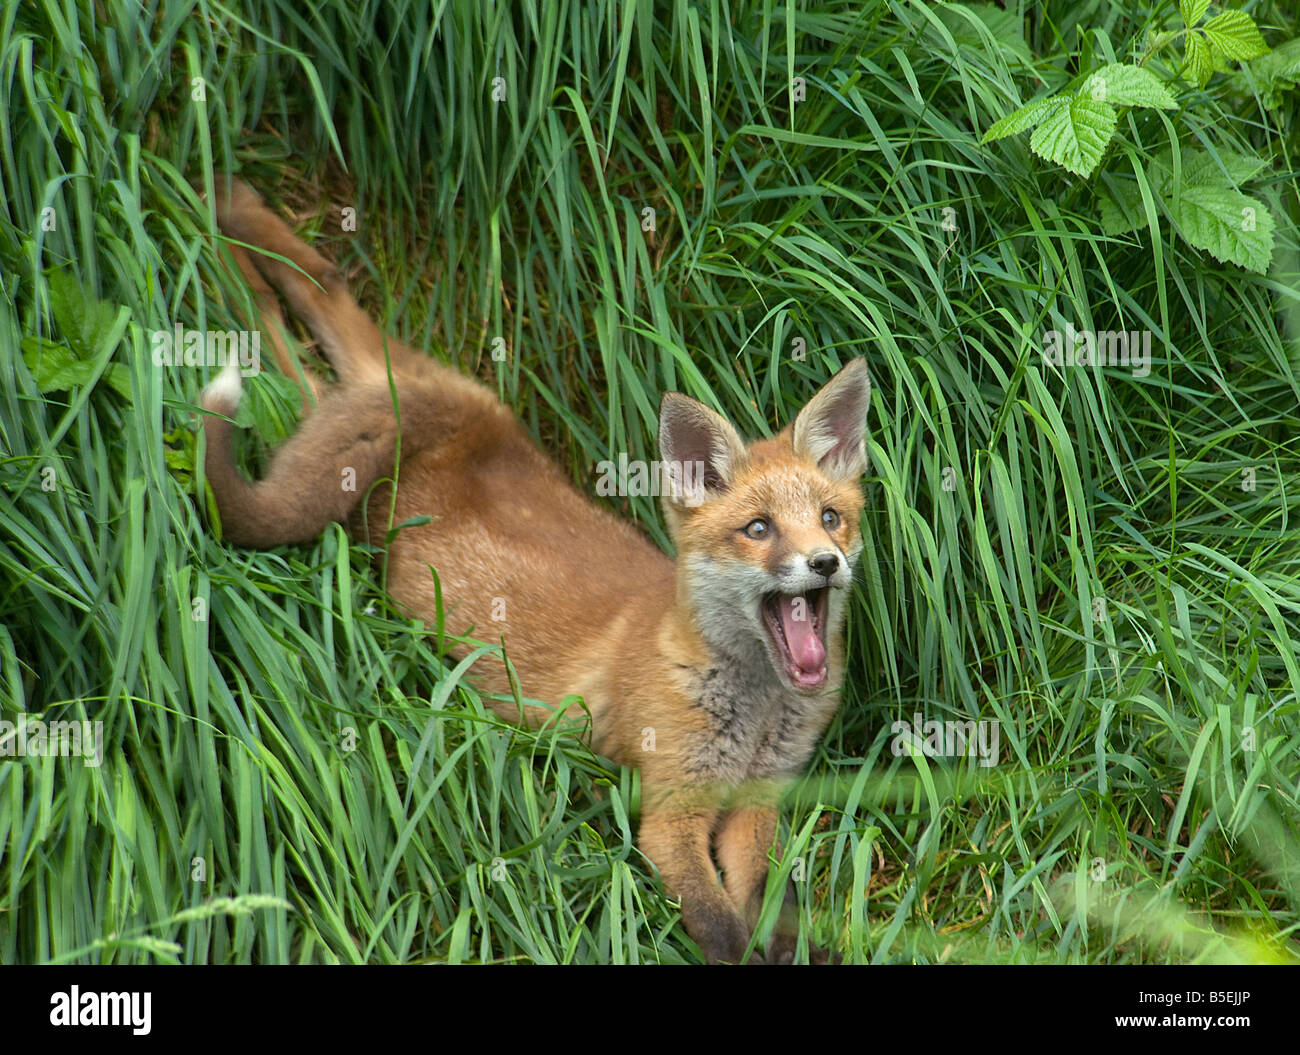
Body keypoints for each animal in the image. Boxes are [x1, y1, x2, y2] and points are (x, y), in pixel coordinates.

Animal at [200, 178, 871, 964]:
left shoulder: (758, 804)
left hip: (389, 404)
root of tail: (457, 428)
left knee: (320, 291)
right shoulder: (667, 811)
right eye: (759, 529)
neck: (756, 710)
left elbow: (778, 907)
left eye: (829, 517)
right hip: (338, 472)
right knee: (293, 350)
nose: (824, 562)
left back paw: (232, 218)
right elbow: (723, 929)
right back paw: (220, 239)